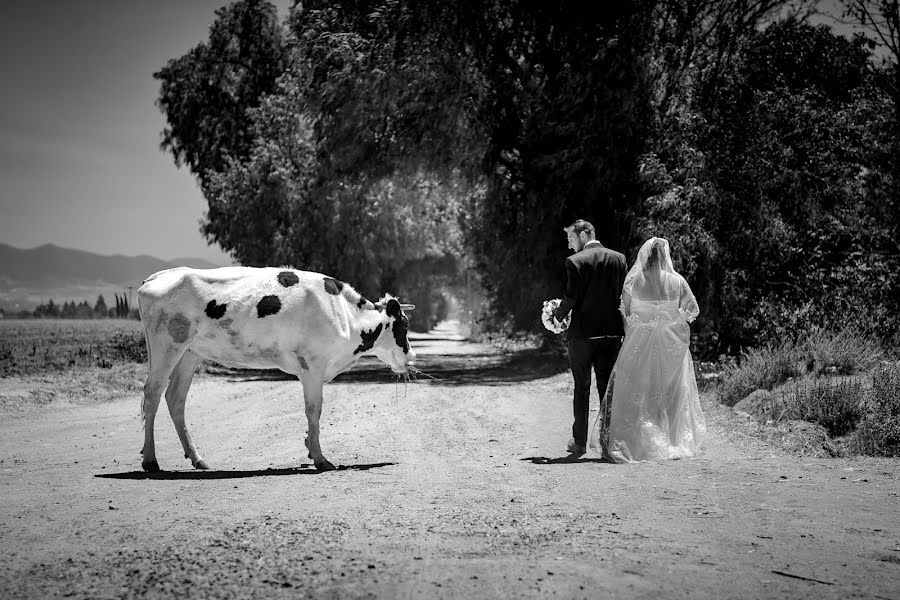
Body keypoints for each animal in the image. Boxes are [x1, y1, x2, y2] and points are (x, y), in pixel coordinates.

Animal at [134, 264, 414, 472]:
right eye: (404, 325)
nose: (410, 358)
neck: (345, 315)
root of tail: (155, 277)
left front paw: (310, 448)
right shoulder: (313, 366)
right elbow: (314, 410)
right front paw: (320, 458)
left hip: (189, 353)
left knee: (175, 398)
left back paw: (197, 458)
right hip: (166, 345)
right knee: (153, 393)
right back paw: (150, 460)